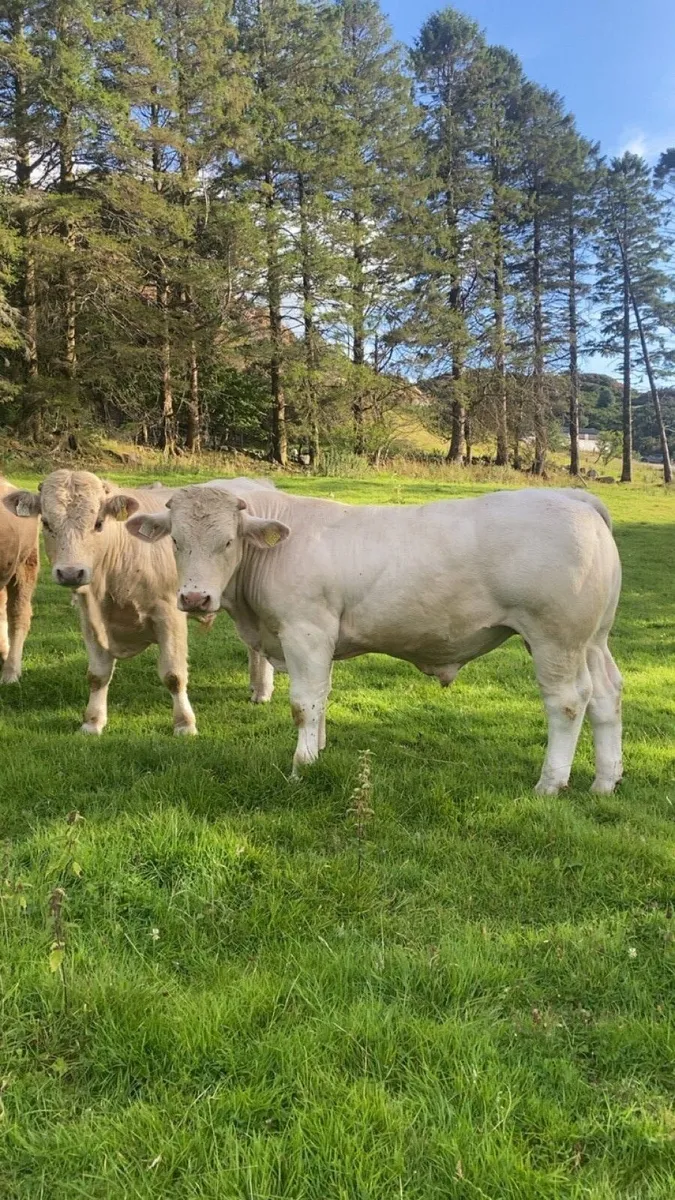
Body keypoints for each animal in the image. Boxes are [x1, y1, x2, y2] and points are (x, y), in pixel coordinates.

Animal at [3, 471, 276, 733]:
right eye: (46, 523)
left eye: (98, 523)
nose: (71, 573)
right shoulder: (90, 619)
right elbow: (97, 675)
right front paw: (92, 722)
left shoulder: (170, 615)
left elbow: (174, 675)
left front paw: (184, 723)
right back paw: (256, 685)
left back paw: (262, 690)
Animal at [125, 485, 623, 795]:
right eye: (176, 541)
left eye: (228, 542)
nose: (194, 597)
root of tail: (571, 495)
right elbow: (322, 698)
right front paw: (319, 750)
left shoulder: (306, 631)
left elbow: (303, 702)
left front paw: (301, 766)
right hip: (592, 640)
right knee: (606, 695)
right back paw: (605, 781)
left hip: (555, 636)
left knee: (568, 701)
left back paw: (550, 784)